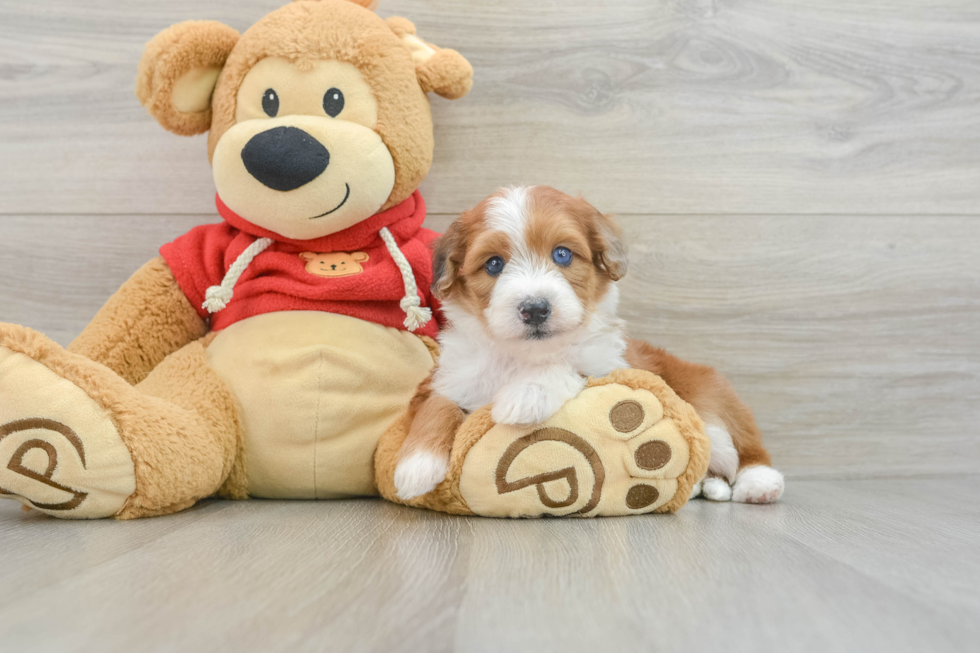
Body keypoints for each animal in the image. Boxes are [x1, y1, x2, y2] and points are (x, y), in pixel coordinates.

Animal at [394, 186, 784, 502]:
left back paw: (759, 483)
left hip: (713, 402)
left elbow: (567, 367)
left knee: (741, 445)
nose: (535, 308)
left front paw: (526, 395)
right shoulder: (450, 376)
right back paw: (707, 487)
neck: (523, 356)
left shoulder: (610, 367)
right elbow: (437, 405)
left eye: (562, 254)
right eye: (493, 264)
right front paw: (416, 466)